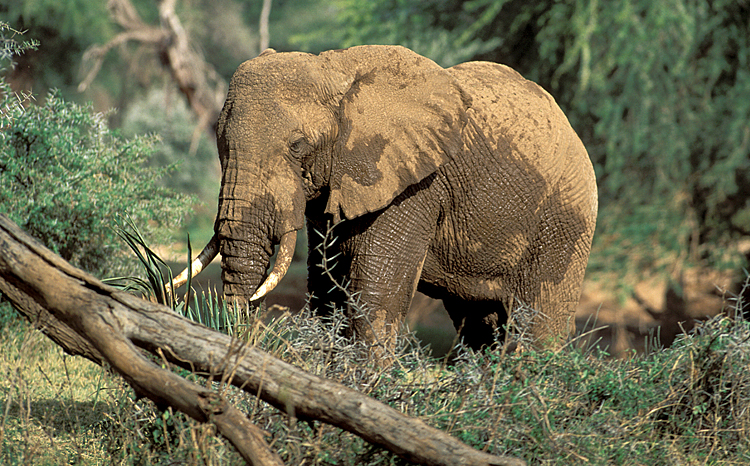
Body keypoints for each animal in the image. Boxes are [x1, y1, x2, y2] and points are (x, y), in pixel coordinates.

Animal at [172, 45, 597, 353]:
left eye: (298, 146)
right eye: (220, 143)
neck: (335, 70)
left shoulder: (415, 186)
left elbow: (376, 295)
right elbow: (326, 289)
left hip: (564, 223)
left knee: (538, 327)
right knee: (480, 326)